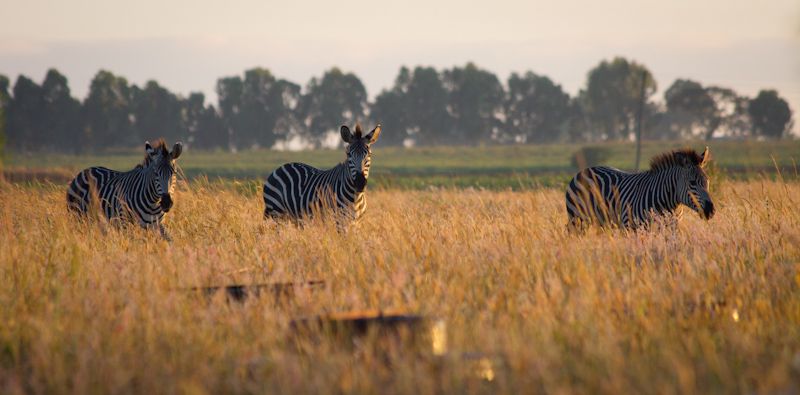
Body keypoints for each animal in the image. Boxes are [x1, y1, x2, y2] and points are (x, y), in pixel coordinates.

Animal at [564, 148, 716, 229]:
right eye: (692, 182)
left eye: (707, 181)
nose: (711, 211)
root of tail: (583, 171)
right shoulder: (633, 227)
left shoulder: (671, 228)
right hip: (577, 219)